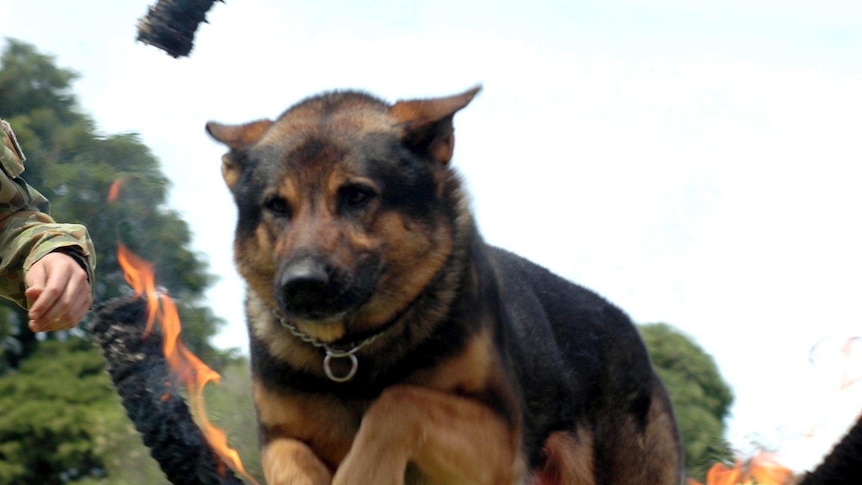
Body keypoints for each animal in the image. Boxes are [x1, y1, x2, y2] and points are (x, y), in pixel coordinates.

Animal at [206, 88, 684, 484]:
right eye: (275, 206)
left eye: (357, 196)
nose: (301, 285)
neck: (350, 352)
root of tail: (630, 331)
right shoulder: (279, 441)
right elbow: (299, 459)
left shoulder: (500, 441)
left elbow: (398, 401)